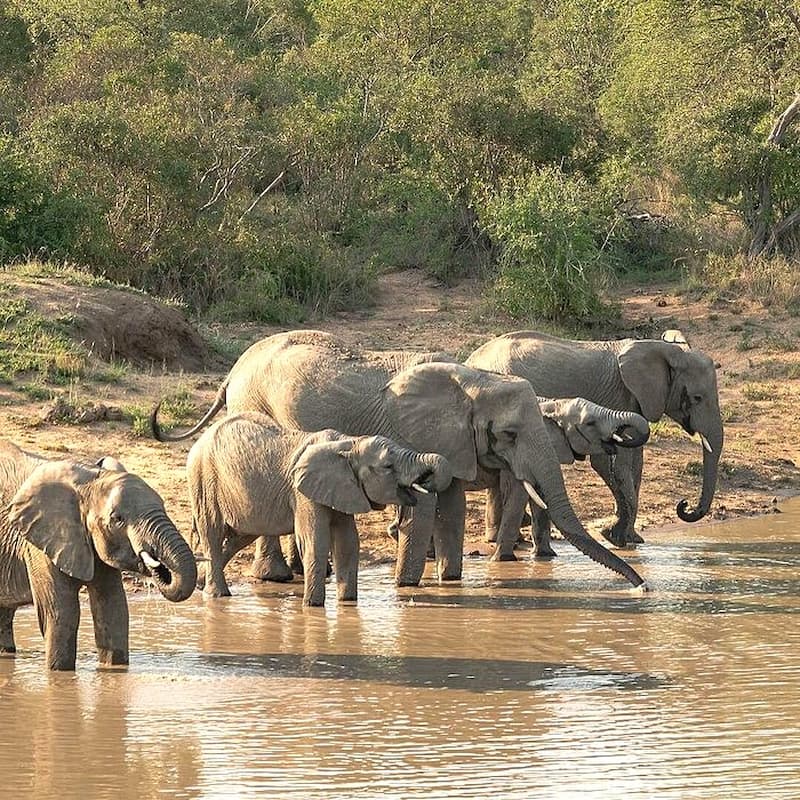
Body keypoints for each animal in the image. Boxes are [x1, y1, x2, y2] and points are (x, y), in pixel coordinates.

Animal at [0, 440, 198, 672]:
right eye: (118, 519)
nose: (157, 566)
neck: (91, 479)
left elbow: (113, 608)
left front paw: (115, 671)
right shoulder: (39, 543)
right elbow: (61, 614)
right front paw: (59, 673)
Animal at [184, 412, 454, 608]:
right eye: (388, 466)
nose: (427, 481)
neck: (349, 443)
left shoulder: (344, 488)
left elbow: (347, 543)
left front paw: (348, 604)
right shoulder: (303, 492)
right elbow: (315, 540)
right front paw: (312, 607)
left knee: (239, 536)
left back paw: (201, 584)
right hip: (202, 480)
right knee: (212, 533)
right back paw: (217, 596)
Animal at [466, 328, 720, 548]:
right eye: (697, 398)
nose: (684, 505)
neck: (665, 349)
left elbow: (636, 463)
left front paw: (632, 539)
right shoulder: (617, 395)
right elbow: (611, 462)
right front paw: (614, 537)